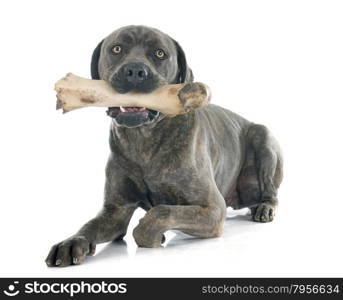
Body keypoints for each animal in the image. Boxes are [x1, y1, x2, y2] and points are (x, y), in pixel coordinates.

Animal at [45, 24, 284, 266]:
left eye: (160, 53)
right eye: (116, 49)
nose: (135, 71)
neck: (143, 140)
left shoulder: (213, 208)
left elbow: (160, 212)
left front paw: (152, 234)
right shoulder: (115, 210)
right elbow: (89, 226)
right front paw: (71, 242)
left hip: (263, 139)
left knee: (270, 191)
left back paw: (265, 207)